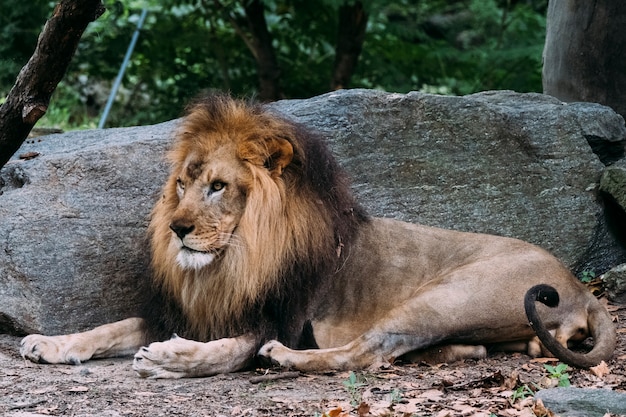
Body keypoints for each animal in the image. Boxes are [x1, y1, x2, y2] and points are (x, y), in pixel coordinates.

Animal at [20, 93, 616, 376]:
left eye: (218, 186)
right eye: (183, 184)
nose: (177, 228)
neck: (229, 263)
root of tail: (578, 286)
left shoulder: (272, 318)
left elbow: (225, 352)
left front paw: (169, 358)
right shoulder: (185, 310)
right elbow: (113, 326)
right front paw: (50, 343)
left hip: (447, 296)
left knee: (367, 351)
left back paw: (287, 359)